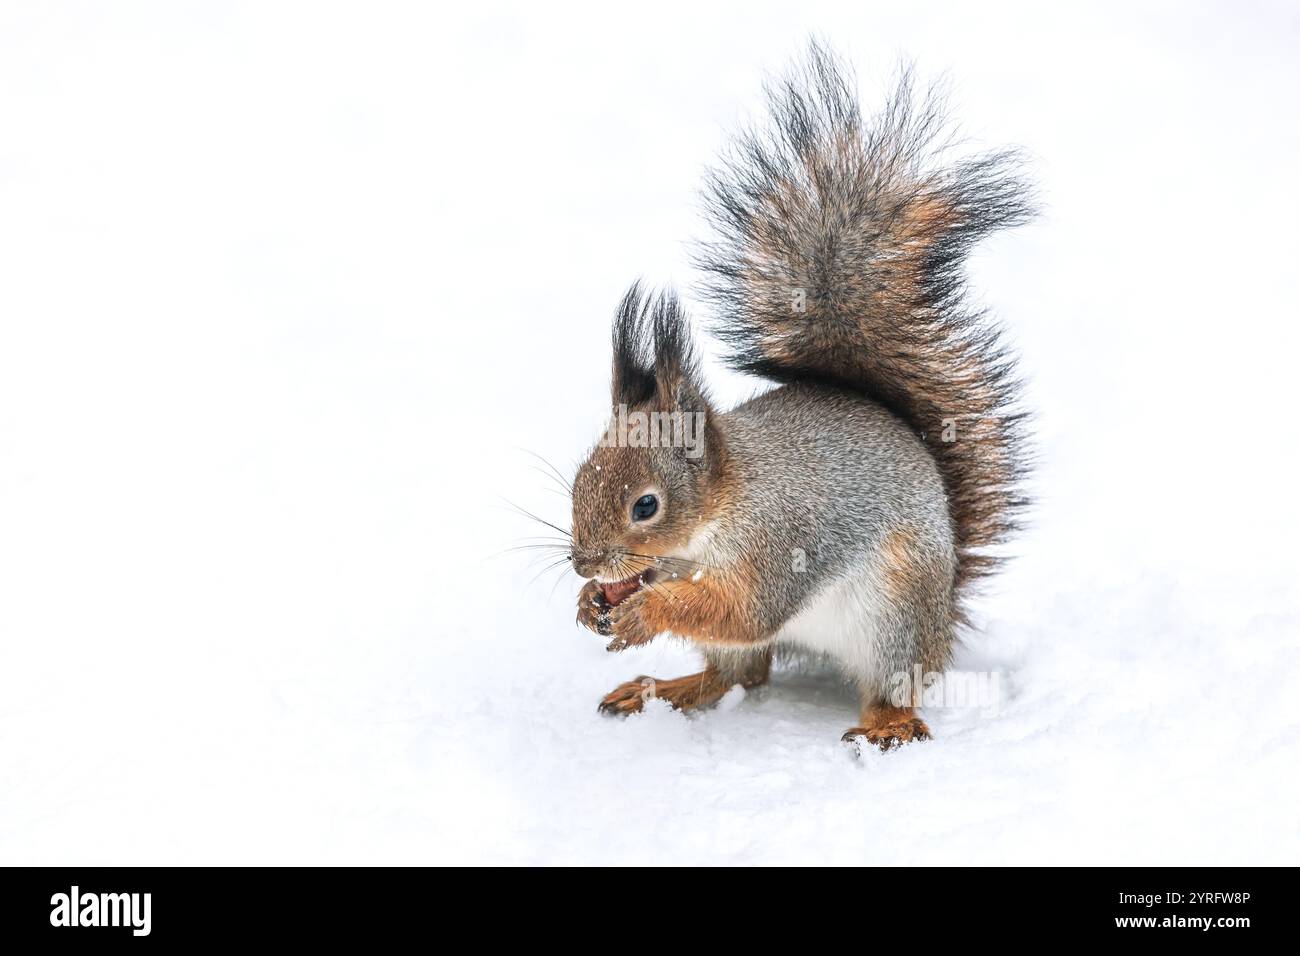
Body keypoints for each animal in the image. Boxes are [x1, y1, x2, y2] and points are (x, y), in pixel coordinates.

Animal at [567, 44, 1032, 751]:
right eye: (578, 480)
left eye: (646, 505)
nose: (581, 564)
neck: (717, 514)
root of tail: (945, 615)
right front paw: (594, 602)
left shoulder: (779, 542)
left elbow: (743, 609)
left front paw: (641, 612)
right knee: (739, 674)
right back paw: (664, 690)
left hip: (893, 618)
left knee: (880, 683)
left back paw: (887, 727)